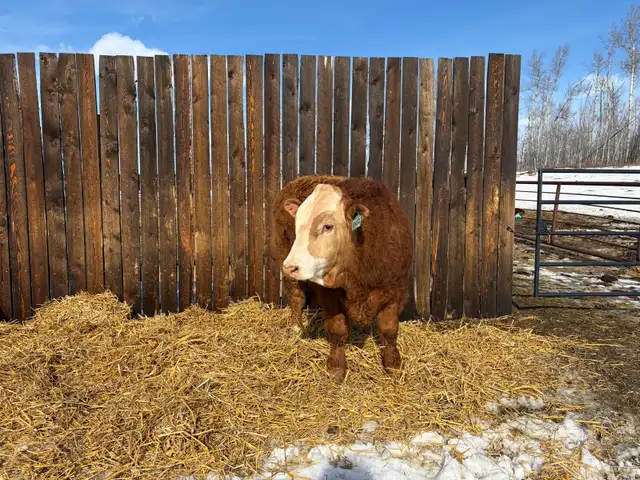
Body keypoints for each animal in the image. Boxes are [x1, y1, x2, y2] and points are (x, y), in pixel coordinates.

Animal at [270, 174, 413, 382]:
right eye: (296, 226)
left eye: (328, 226)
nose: (291, 266)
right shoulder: (329, 294)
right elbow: (337, 329)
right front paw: (336, 367)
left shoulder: (396, 290)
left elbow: (389, 330)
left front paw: (393, 365)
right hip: (283, 255)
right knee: (297, 296)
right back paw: (296, 328)